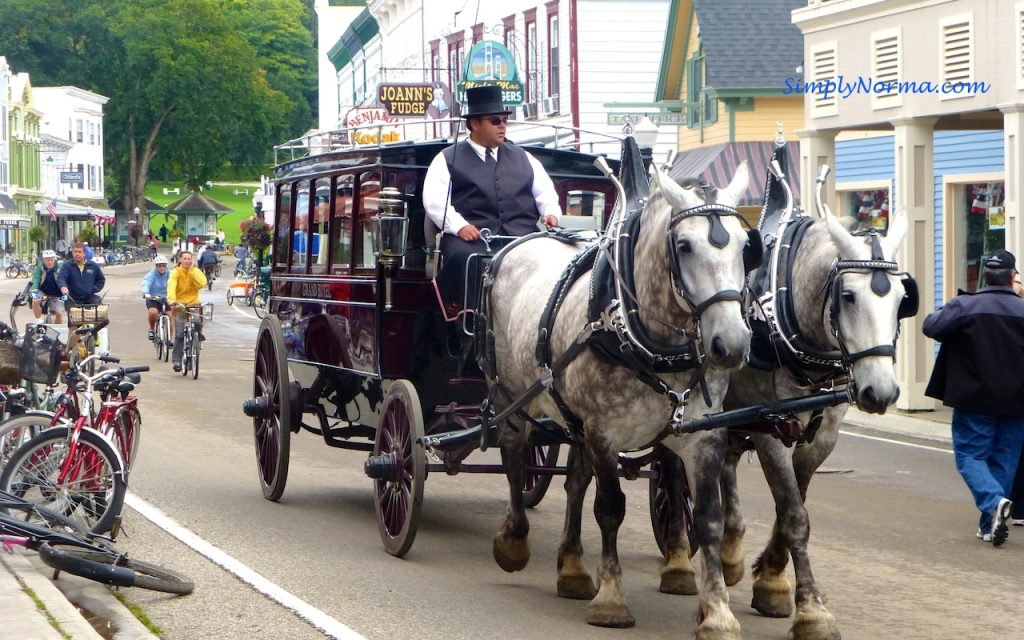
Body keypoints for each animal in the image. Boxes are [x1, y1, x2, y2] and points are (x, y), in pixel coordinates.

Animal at [483, 160, 757, 634]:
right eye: (684, 245)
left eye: (745, 245)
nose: (733, 343)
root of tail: (516, 245)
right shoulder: (604, 433)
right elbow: (610, 508)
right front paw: (610, 597)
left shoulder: (702, 436)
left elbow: (709, 518)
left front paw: (718, 612)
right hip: (512, 396)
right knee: (516, 460)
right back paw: (514, 540)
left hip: (573, 417)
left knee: (574, 482)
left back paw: (573, 568)